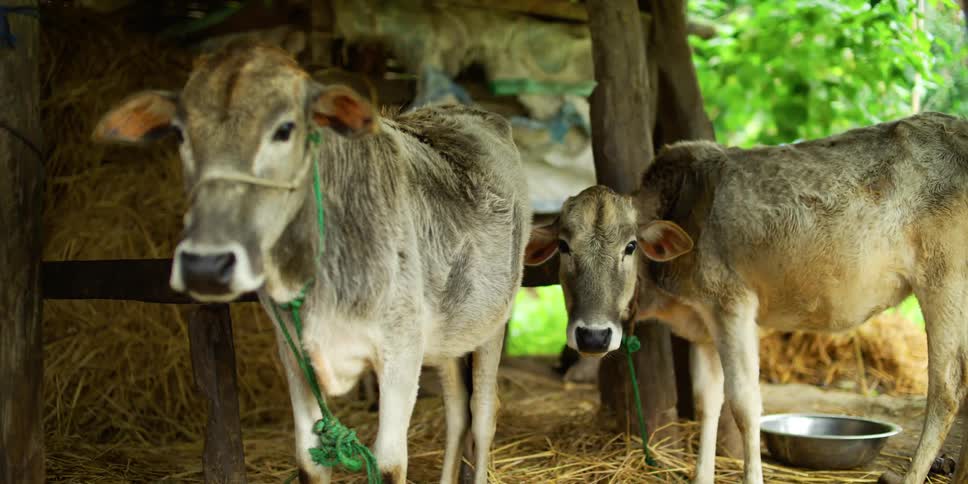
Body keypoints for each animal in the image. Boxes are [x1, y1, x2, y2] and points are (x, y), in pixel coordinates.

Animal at [92, 41, 532, 484]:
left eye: (285, 129)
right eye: (180, 133)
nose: (205, 266)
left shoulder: (401, 351)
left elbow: (390, 464)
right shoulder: (294, 352)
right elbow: (309, 460)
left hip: (492, 324)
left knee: (481, 415)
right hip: (449, 336)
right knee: (456, 413)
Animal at [523, 112, 968, 484]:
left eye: (630, 246)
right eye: (564, 245)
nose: (593, 336)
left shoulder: (732, 307)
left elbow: (744, 403)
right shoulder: (703, 326)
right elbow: (707, 401)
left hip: (944, 283)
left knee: (946, 389)